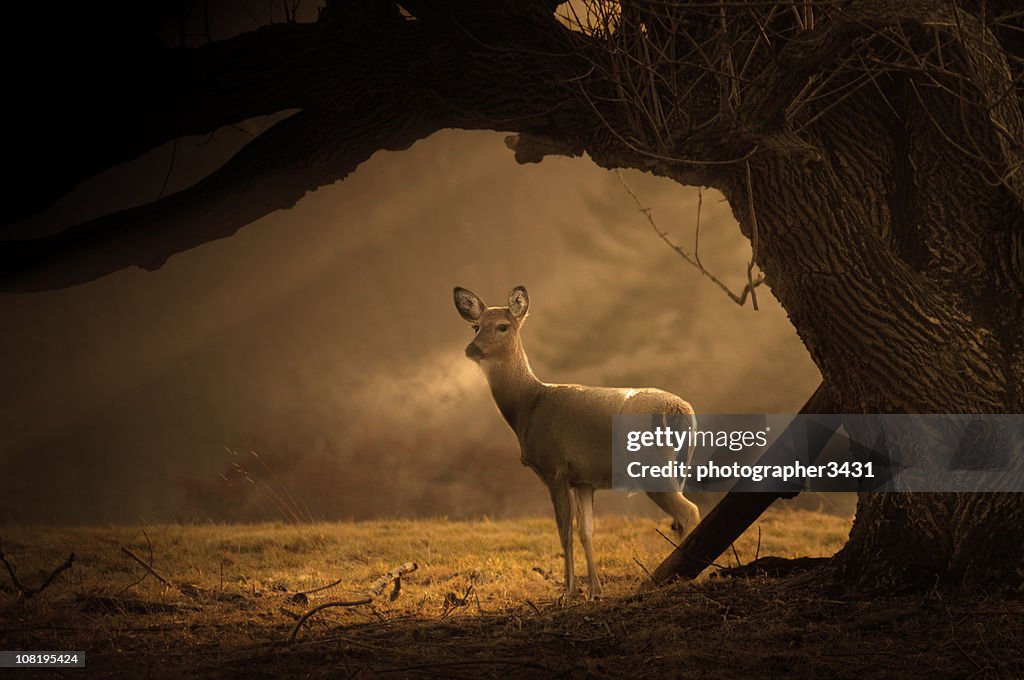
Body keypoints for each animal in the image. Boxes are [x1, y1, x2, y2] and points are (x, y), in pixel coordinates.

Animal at [452, 284, 700, 602]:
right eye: (475, 326)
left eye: (503, 326)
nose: (472, 348)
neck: (528, 405)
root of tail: (681, 410)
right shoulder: (583, 480)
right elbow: (586, 530)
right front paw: (594, 591)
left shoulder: (554, 467)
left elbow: (564, 531)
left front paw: (568, 593)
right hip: (677, 467)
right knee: (681, 516)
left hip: (653, 466)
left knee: (689, 511)